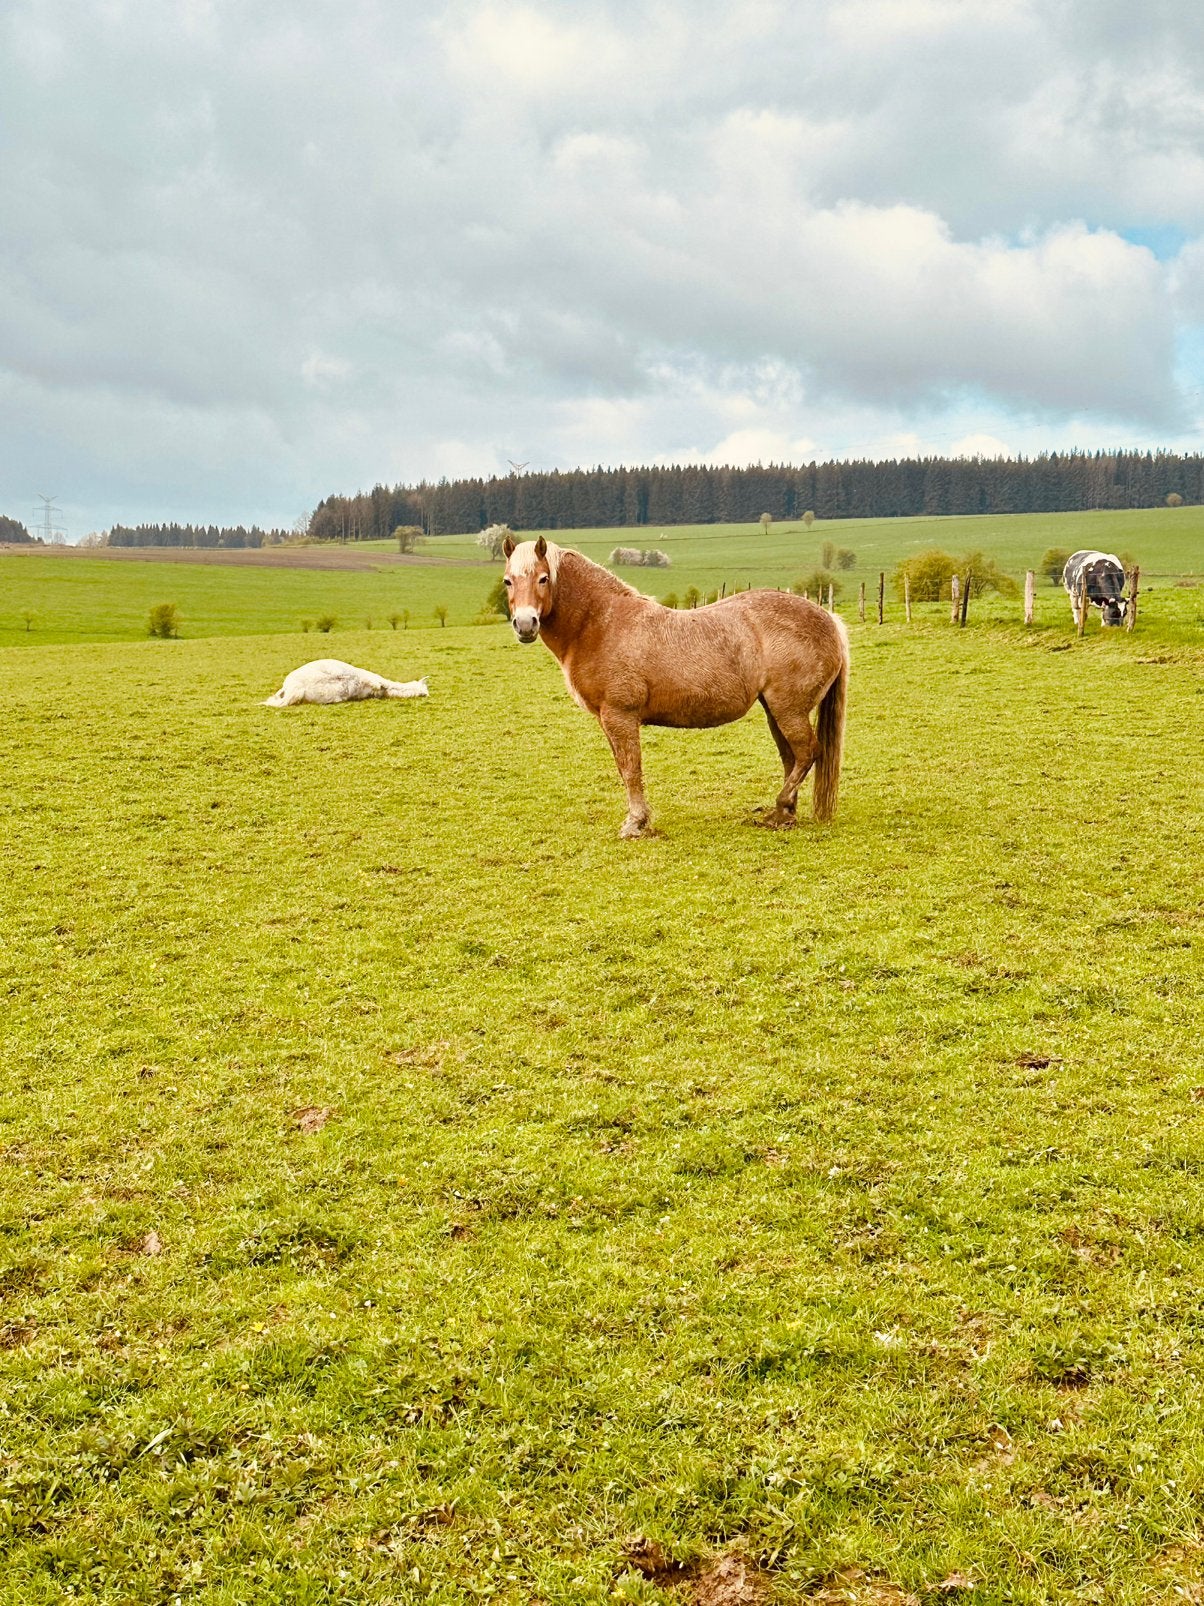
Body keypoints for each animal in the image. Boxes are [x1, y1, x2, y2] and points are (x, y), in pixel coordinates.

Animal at [502, 535, 849, 838]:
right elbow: (624, 768)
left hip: (788, 710)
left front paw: (635, 823)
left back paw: (780, 806)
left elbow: (631, 769)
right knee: (792, 758)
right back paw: (783, 815)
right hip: (775, 710)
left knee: (807, 752)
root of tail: (829, 619)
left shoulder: (620, 716)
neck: (600, 623)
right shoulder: (607, 720)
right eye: (508, 580)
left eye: (543, 578)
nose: (525, 624)